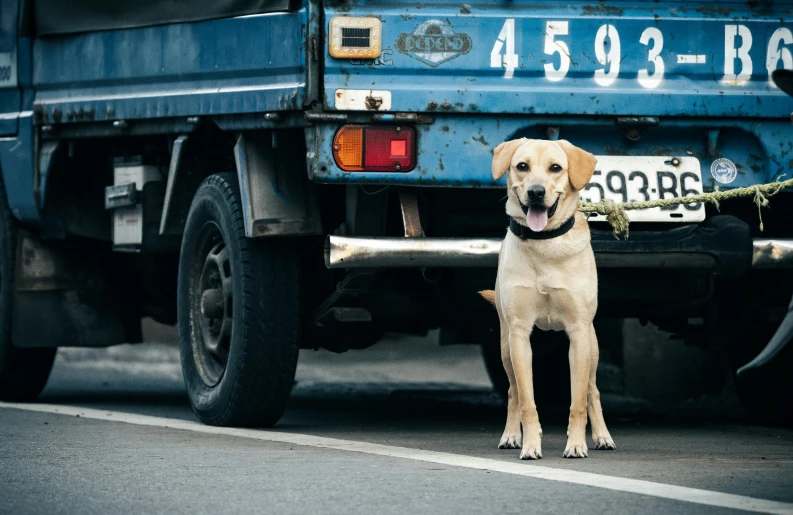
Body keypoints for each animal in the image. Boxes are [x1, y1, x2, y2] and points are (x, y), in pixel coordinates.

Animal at [480, 139, 616, 462]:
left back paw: (602, 436)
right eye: (522, 166)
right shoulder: (519, 335)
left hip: (592, 347)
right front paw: (530, 444)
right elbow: (527, 399)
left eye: (556, 168)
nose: (536, 192)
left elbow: (578, 401)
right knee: (513, 391)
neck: (545, 244)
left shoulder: (578, 334)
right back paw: (511, 435)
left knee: (592, 391)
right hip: (505, 347)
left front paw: (576, 445)